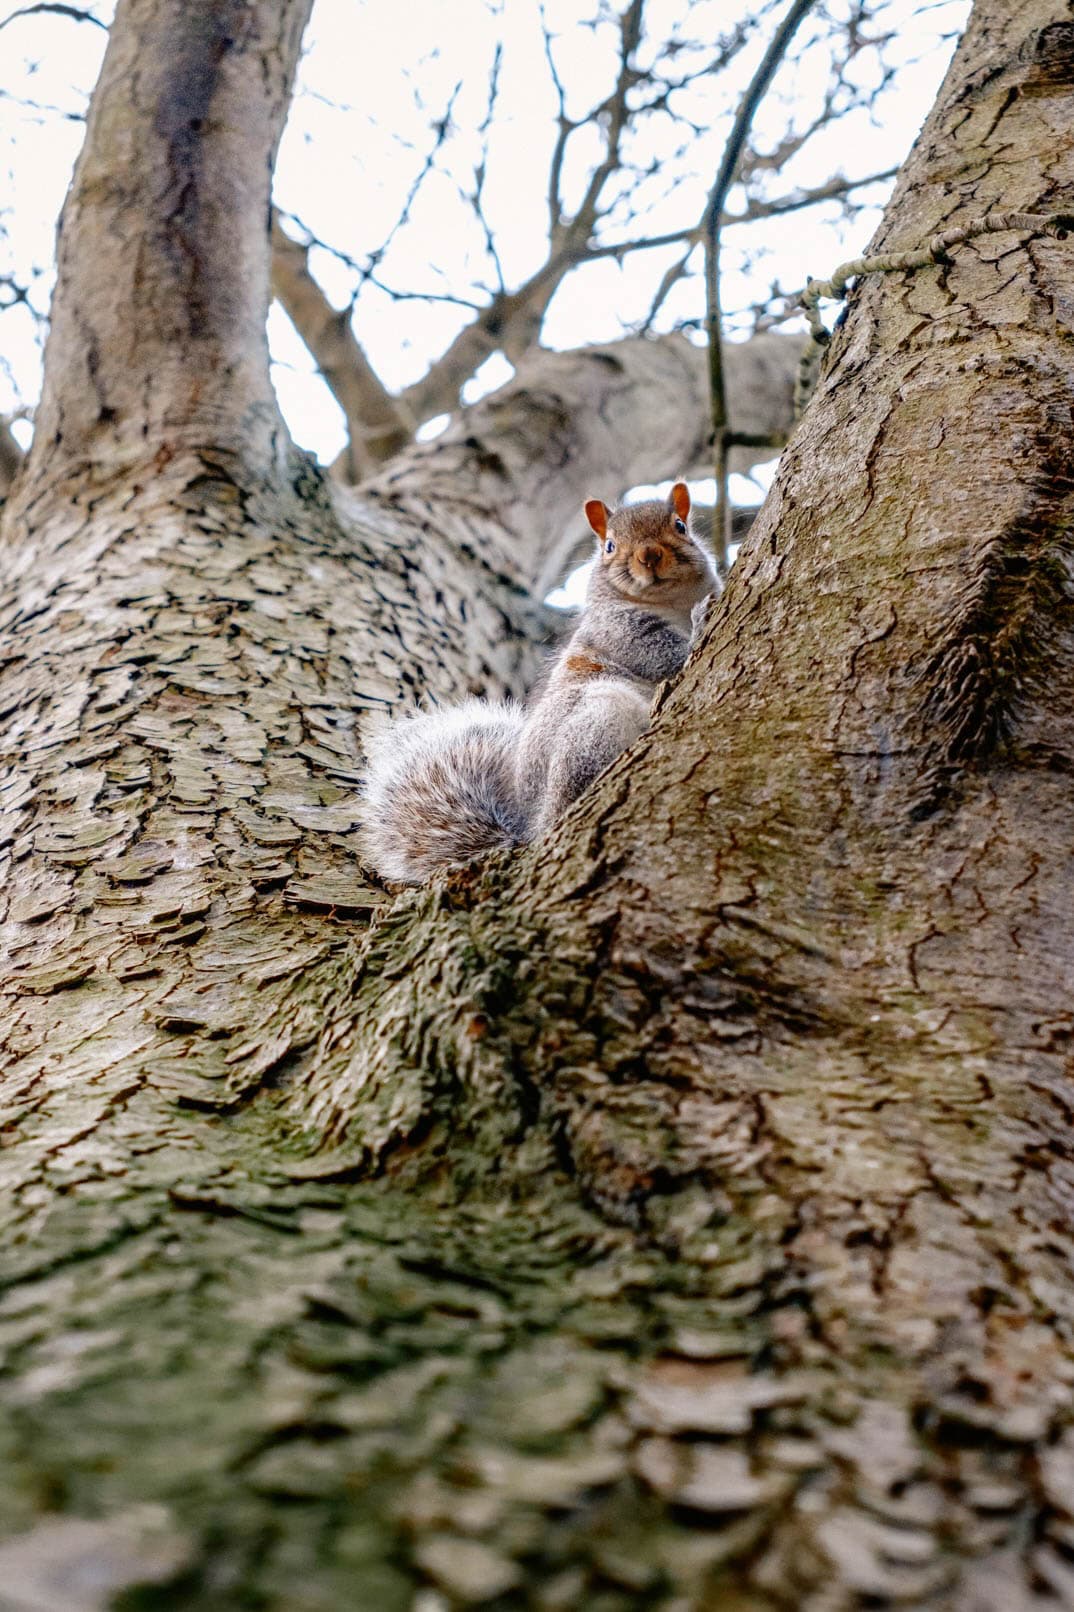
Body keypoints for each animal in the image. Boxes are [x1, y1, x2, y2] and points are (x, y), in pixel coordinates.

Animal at [360, 481, 718, 883]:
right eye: (610, 545)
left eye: (680, 526)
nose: (649, 555)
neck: (670, 602)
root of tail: (534, 826)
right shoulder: (617, 630)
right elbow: (664, 656)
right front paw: (701, 624)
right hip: (597, 719)